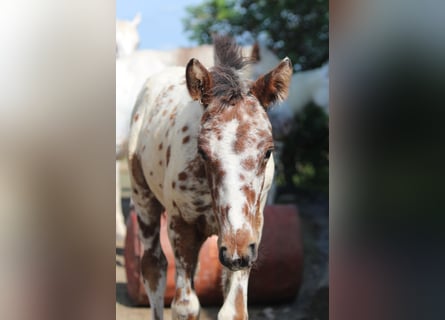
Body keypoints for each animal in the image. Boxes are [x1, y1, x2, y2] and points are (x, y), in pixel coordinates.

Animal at [126, 36, 294, 318]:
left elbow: (234, 309)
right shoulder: (181, 226)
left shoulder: (252, 231)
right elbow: (185, 306)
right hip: (143, 200)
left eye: (268, 152)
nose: (237, 253)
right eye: (203, 151)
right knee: (153, 266)